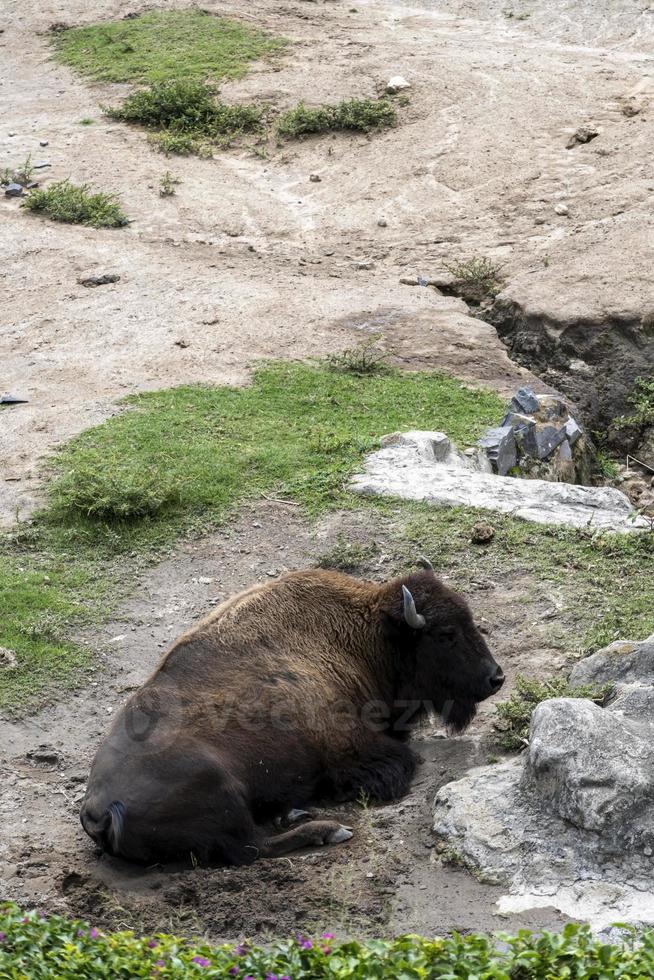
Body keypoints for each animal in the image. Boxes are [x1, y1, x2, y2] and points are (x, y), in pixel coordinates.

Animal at [79, 564, 504, 860]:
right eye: (445, 634)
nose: (496, 677)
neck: (363, 637)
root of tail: (99, 809)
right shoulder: (354, 747)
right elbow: (401, 760)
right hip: (222, 789)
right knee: (251, 848)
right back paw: (327, 829)